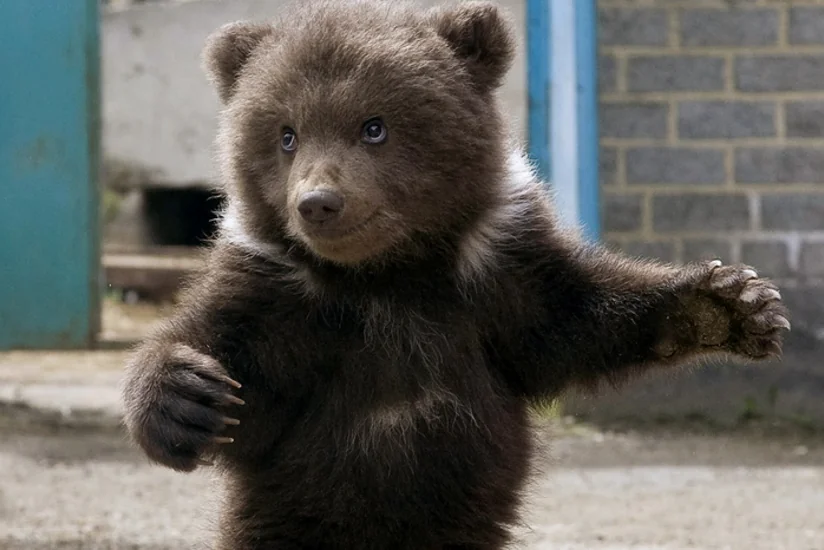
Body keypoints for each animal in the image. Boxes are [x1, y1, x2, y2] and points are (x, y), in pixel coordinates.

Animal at [120, 1, 790, 548]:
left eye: (374, 125)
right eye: (286, 134)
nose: (318, 203)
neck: (390, 276)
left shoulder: (494, 271)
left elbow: (575, 319)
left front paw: (732, 303)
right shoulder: (285, 296)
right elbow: (228, 355)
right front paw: (186, 397)